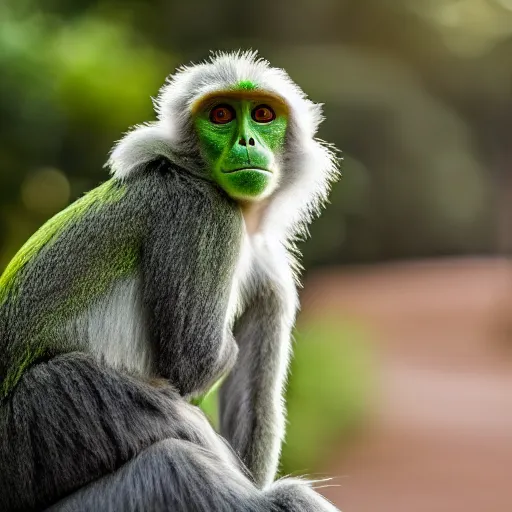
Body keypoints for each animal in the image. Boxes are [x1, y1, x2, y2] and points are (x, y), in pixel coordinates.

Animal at [1, 52, 344, 512]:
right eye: (220, 115)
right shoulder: (203, 211)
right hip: (32, 428)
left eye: (263, 115)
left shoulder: (269, 262)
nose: (248, 143)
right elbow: (192, 365)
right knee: (169, 455)